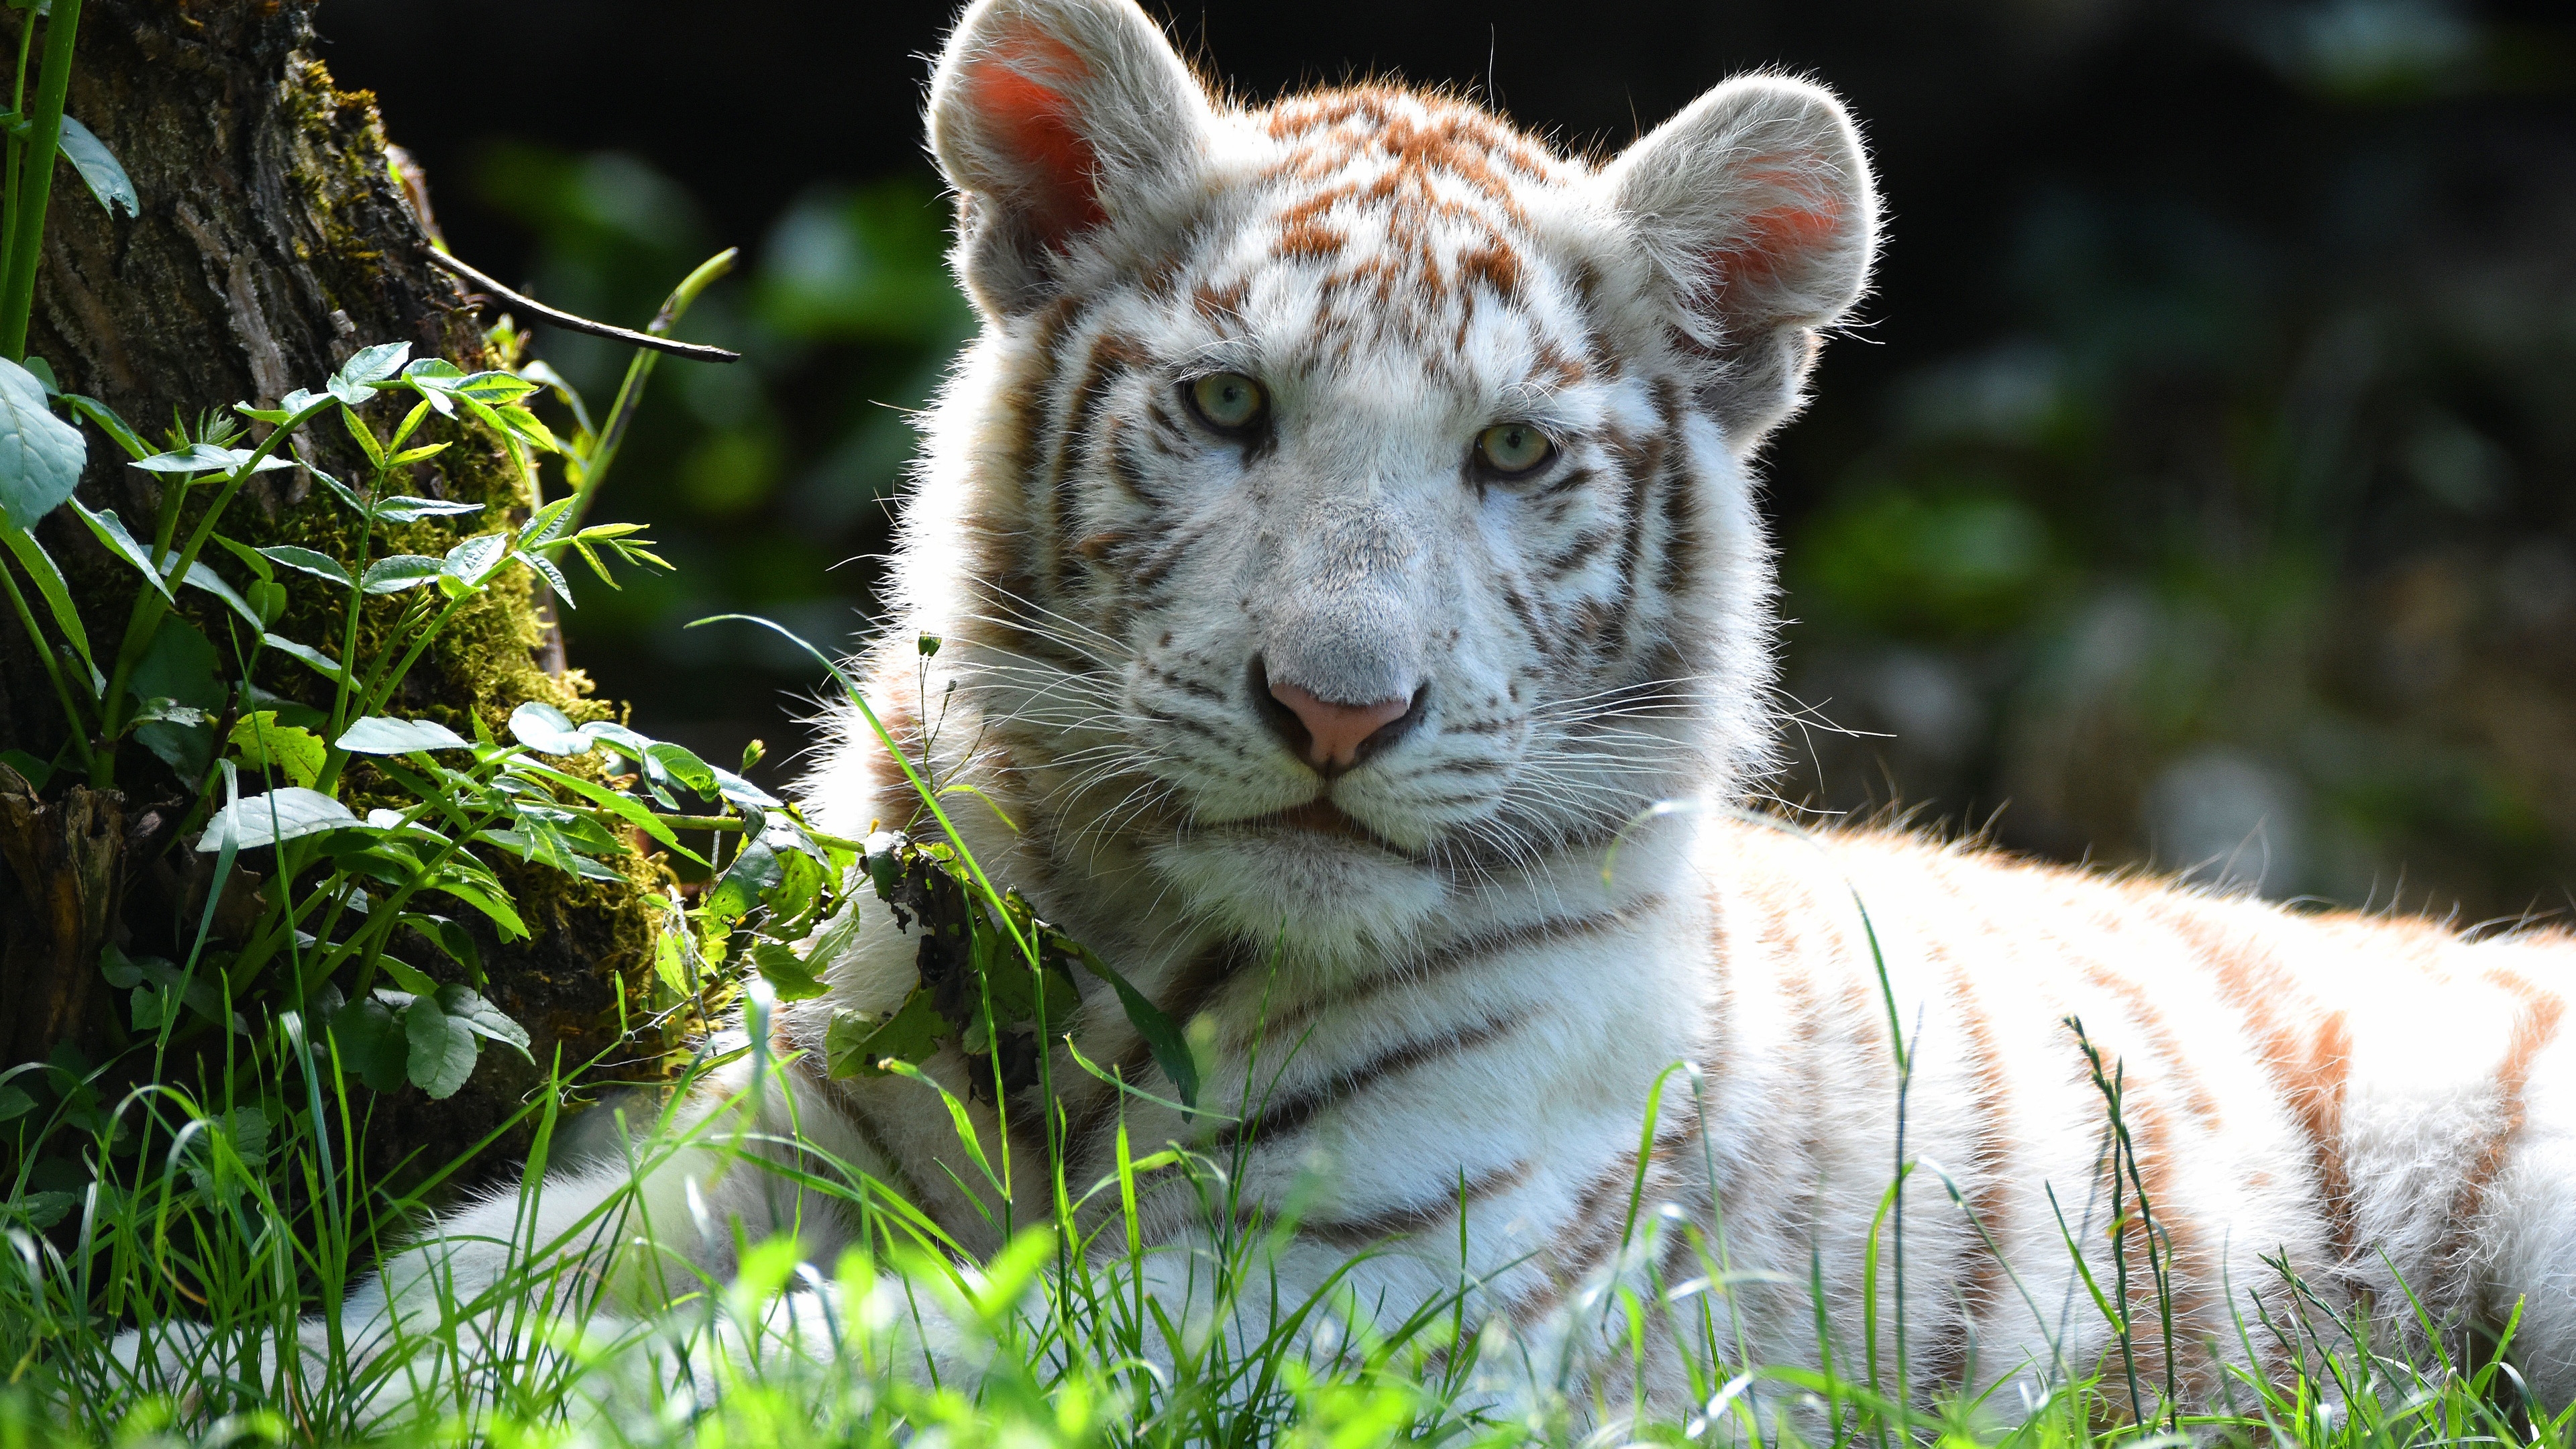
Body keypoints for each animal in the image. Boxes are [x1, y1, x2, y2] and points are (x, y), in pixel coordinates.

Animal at [145, 0, 2576, 1426]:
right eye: (1230, 410)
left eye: (1510, 457)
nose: (1337, 711)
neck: (1126, 977)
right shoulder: (741, 1155)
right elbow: (454, 1284)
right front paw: (176, 1348)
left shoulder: (1352, 1308)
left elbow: (858, 1354)